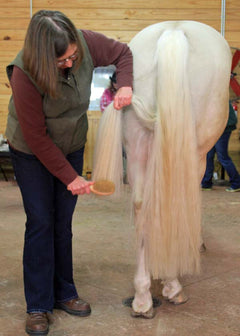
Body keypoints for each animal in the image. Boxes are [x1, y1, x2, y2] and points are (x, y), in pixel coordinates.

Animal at [92, 20, 232, 318]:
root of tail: (173, 31)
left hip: (137, 150)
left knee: (142, 204)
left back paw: (143, 297)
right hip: (191, 151)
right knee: (175, 200)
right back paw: (173, 285)